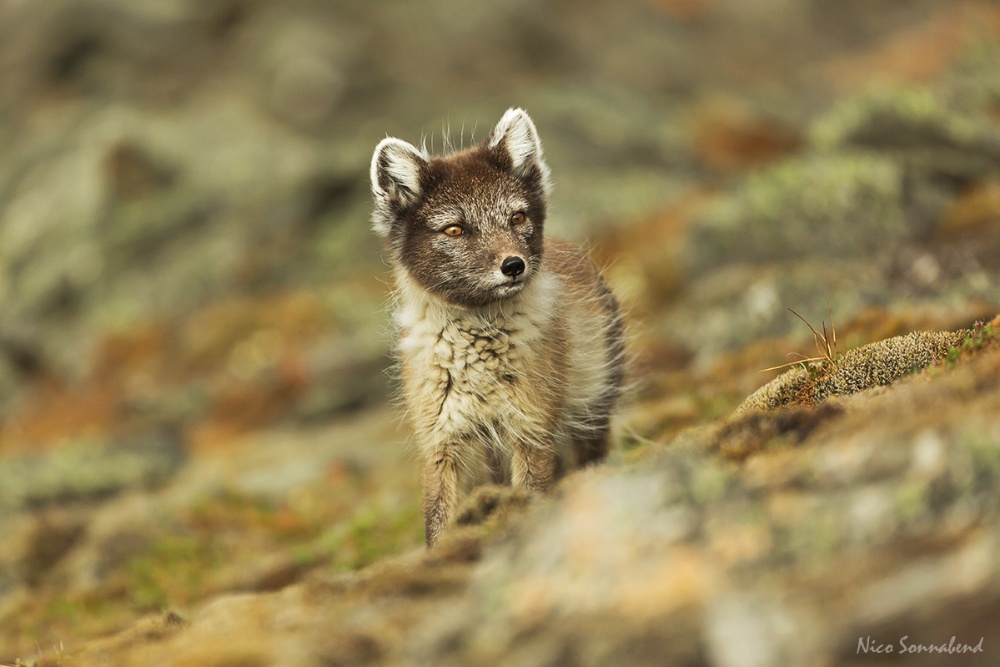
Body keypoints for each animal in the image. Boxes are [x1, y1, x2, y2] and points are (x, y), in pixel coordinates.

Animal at [372, 108, 620, 548]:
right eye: (454, 229)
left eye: (517, 217)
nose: (514, 265)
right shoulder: (440, 443)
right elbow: (438, 522)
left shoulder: (531, 432)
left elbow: (531, 495)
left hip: (589, 415)